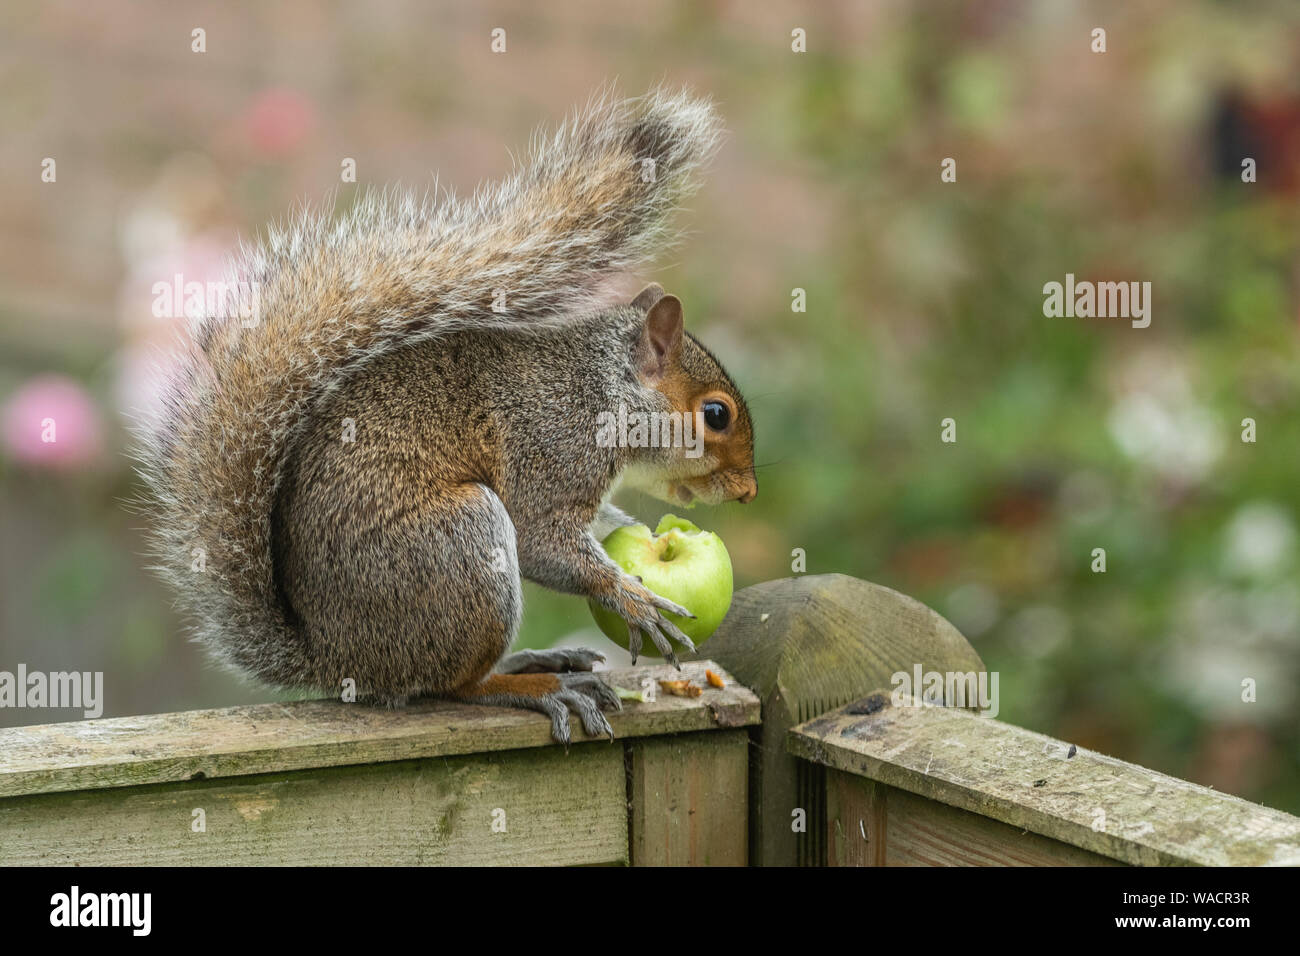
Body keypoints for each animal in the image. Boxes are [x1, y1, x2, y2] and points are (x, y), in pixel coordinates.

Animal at [138, 87, 759, 749]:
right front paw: (629, 598)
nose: (749, 492)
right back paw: (538, 686)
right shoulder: (550, 449)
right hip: (461, 547)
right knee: (451, 685)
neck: (598, 390)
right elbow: (541, 539)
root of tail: (338, 658)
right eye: (715, 414)